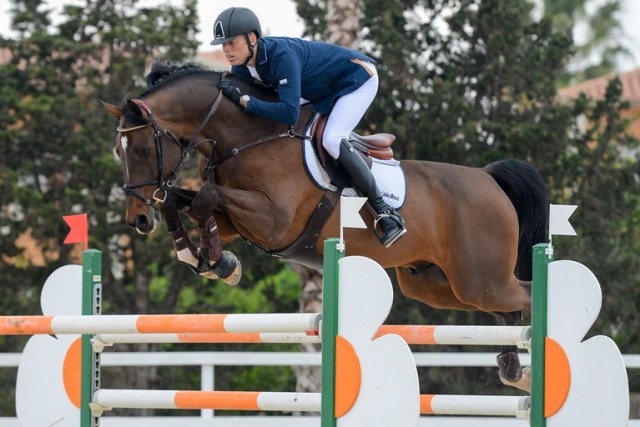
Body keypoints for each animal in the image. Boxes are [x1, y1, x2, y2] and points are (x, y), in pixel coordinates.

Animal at [100, 61, 544, 392]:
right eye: (118, 151)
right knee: (507, 307)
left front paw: (219, 264)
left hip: (479, 279)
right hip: (437, 284)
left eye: (143, 150)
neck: (248, 136)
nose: (137, 220)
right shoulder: (233, 222)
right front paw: (201, 257)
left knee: (525, 292)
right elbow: (185, 202)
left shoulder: (274, 220)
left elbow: (206, 197)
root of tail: (487, 177)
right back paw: (513, 368)